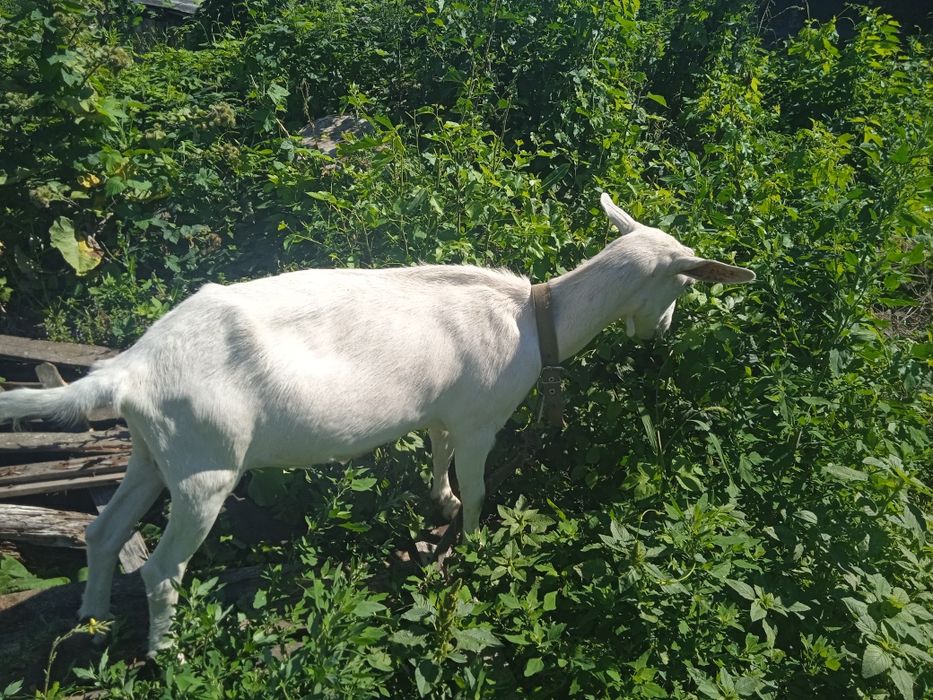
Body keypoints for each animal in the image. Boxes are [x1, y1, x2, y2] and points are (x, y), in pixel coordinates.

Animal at [0, 194, 754, 654]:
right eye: (685, 282)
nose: (661, 332)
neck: (537, 320)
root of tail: (129, 370)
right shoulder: (483, 419)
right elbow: (480, 487)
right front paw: (471, 543)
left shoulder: (445, 410)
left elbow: (437, 454)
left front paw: (439, 502)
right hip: (205, 467)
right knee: (161, 567)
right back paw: (168, 653)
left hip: (152, 452)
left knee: (103, 531)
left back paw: (92, 617)